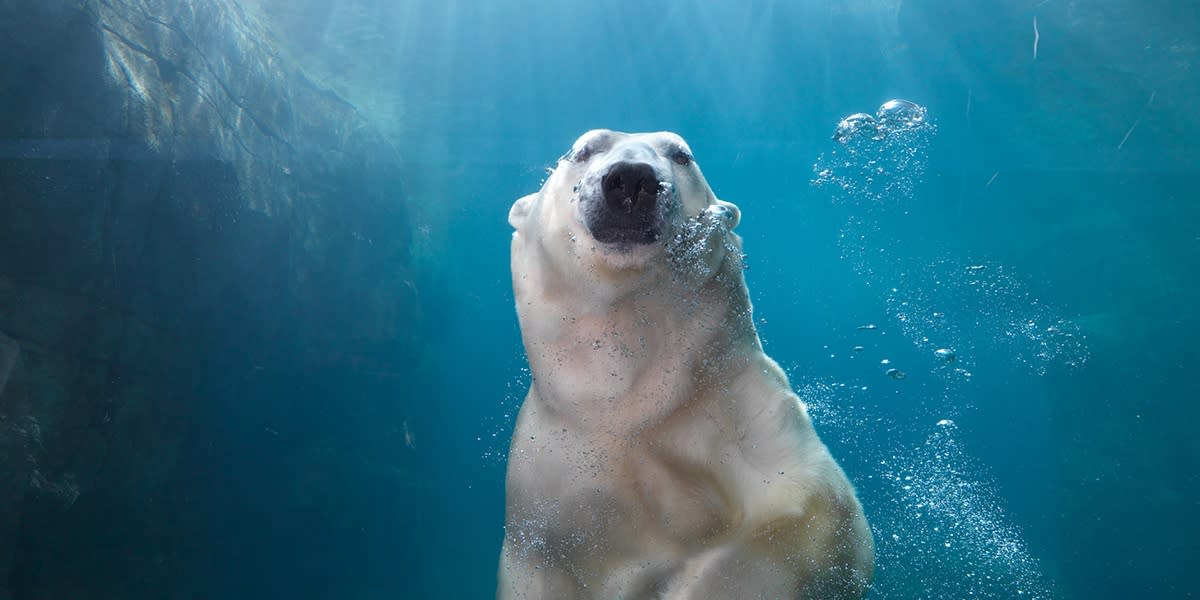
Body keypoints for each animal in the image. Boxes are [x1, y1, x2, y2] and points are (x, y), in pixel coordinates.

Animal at [496, 131, 873, 600]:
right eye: (584, 150)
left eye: (681, 155)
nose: (632, 178)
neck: (631, 401)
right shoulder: (549, 472)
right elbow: (539, 561)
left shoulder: (739, 405)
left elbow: (816, 518)